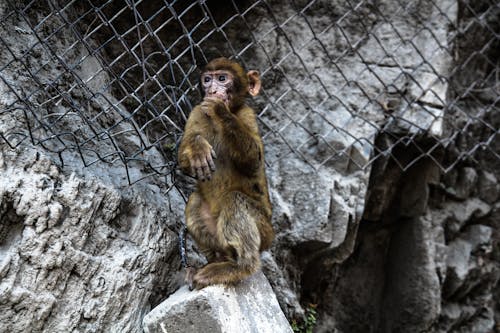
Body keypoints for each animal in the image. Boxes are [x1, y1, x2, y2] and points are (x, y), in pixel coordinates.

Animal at [179, 56, 274, 288]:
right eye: (207, 79)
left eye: (222, 78)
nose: (212, 90)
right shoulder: (196, 111)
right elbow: (183, 162)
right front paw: (197, 147)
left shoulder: (247, 114)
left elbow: (253, 161)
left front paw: (220, 109)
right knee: (195, 200)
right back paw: (215, 261)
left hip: (265, 232)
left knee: (234, 200)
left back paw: (240, 267)